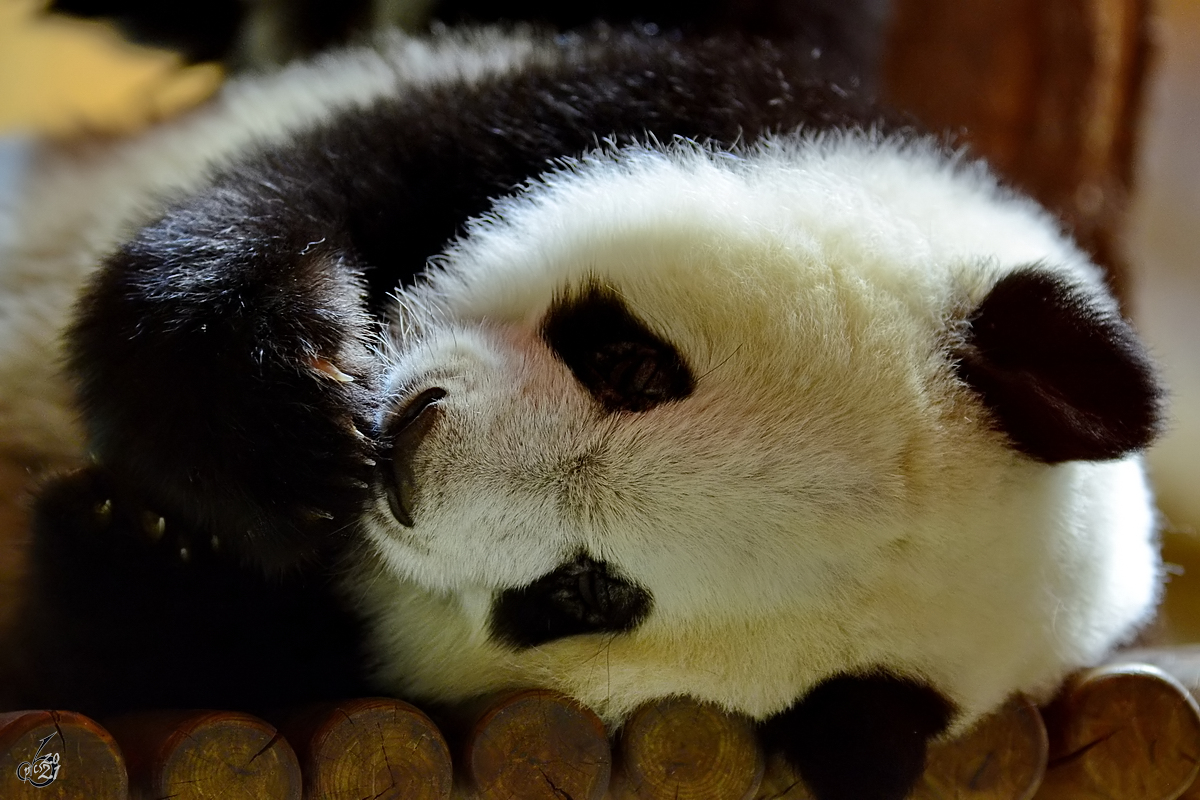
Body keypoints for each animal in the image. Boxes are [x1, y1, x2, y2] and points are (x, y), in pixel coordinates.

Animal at [0, 17, 1161, 800]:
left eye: (587, 593)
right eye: (635, 368)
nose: (404, 452)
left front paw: (138, 540)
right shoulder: (652, 104)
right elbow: (305, 192)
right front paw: (273, 428)